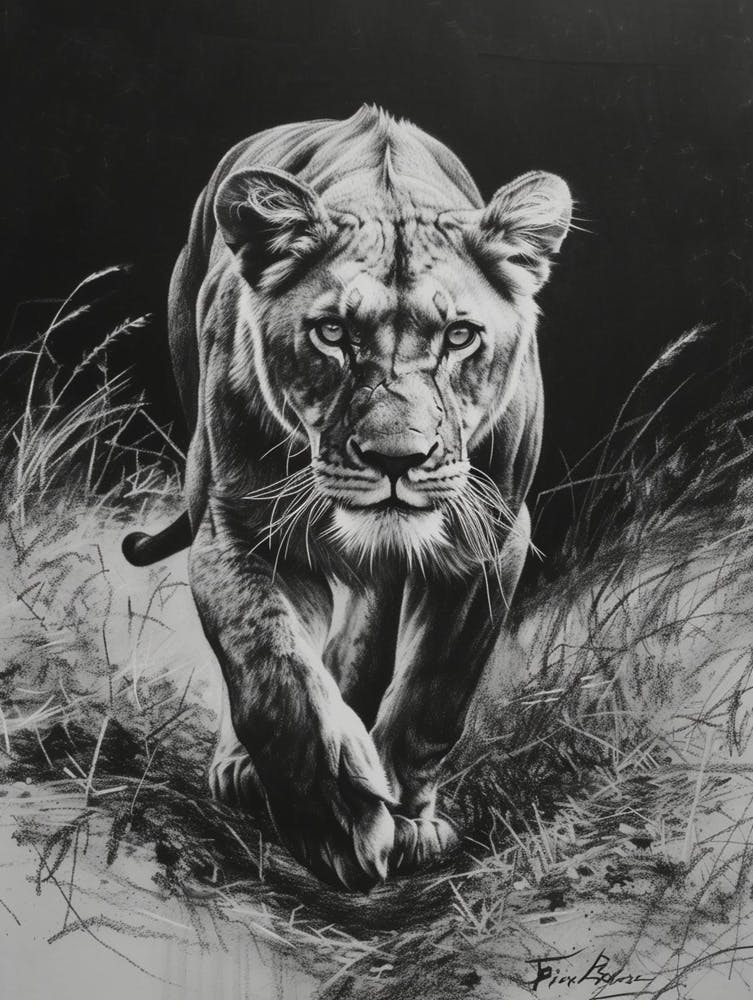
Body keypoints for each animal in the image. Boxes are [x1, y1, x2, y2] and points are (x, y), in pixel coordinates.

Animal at [123, 105, 571, 890]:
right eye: (332, 333)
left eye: (459, 336)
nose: (397, 459)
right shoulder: (236, 530)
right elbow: (274, 674)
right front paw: (338, 820)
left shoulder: (487, 545)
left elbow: (433, 692)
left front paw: (409, 821)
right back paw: (241, 768)